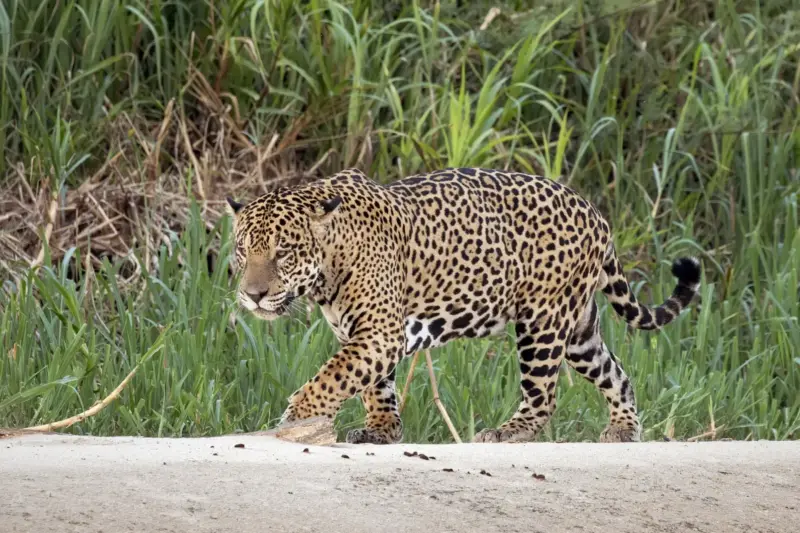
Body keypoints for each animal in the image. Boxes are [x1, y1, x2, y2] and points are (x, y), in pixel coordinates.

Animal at [226, 167, 700, 444]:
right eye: (243, 250)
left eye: (283, 253)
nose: (253, 294)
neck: (328, 265)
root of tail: (595, 213)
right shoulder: (364, 335)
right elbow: (372, 384)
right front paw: (382, 430)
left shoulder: (379, 333)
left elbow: (332, 377)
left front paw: (297, 416)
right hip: (579, 329)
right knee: (616, 374)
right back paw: (623, 429)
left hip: (542, 322)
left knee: (543, 395)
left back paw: (508, 432)